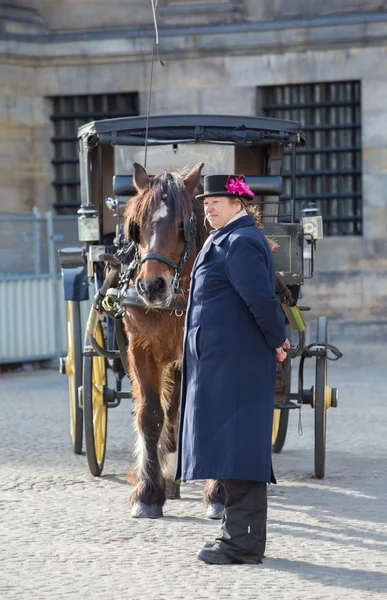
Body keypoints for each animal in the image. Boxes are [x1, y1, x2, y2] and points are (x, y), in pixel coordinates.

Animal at [123, 162, 223, 516]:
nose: (152, 286)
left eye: (183, 226)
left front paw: (218, 493)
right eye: (136, 227)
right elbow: (151, 415)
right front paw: (148, 493)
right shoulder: (140, 350)